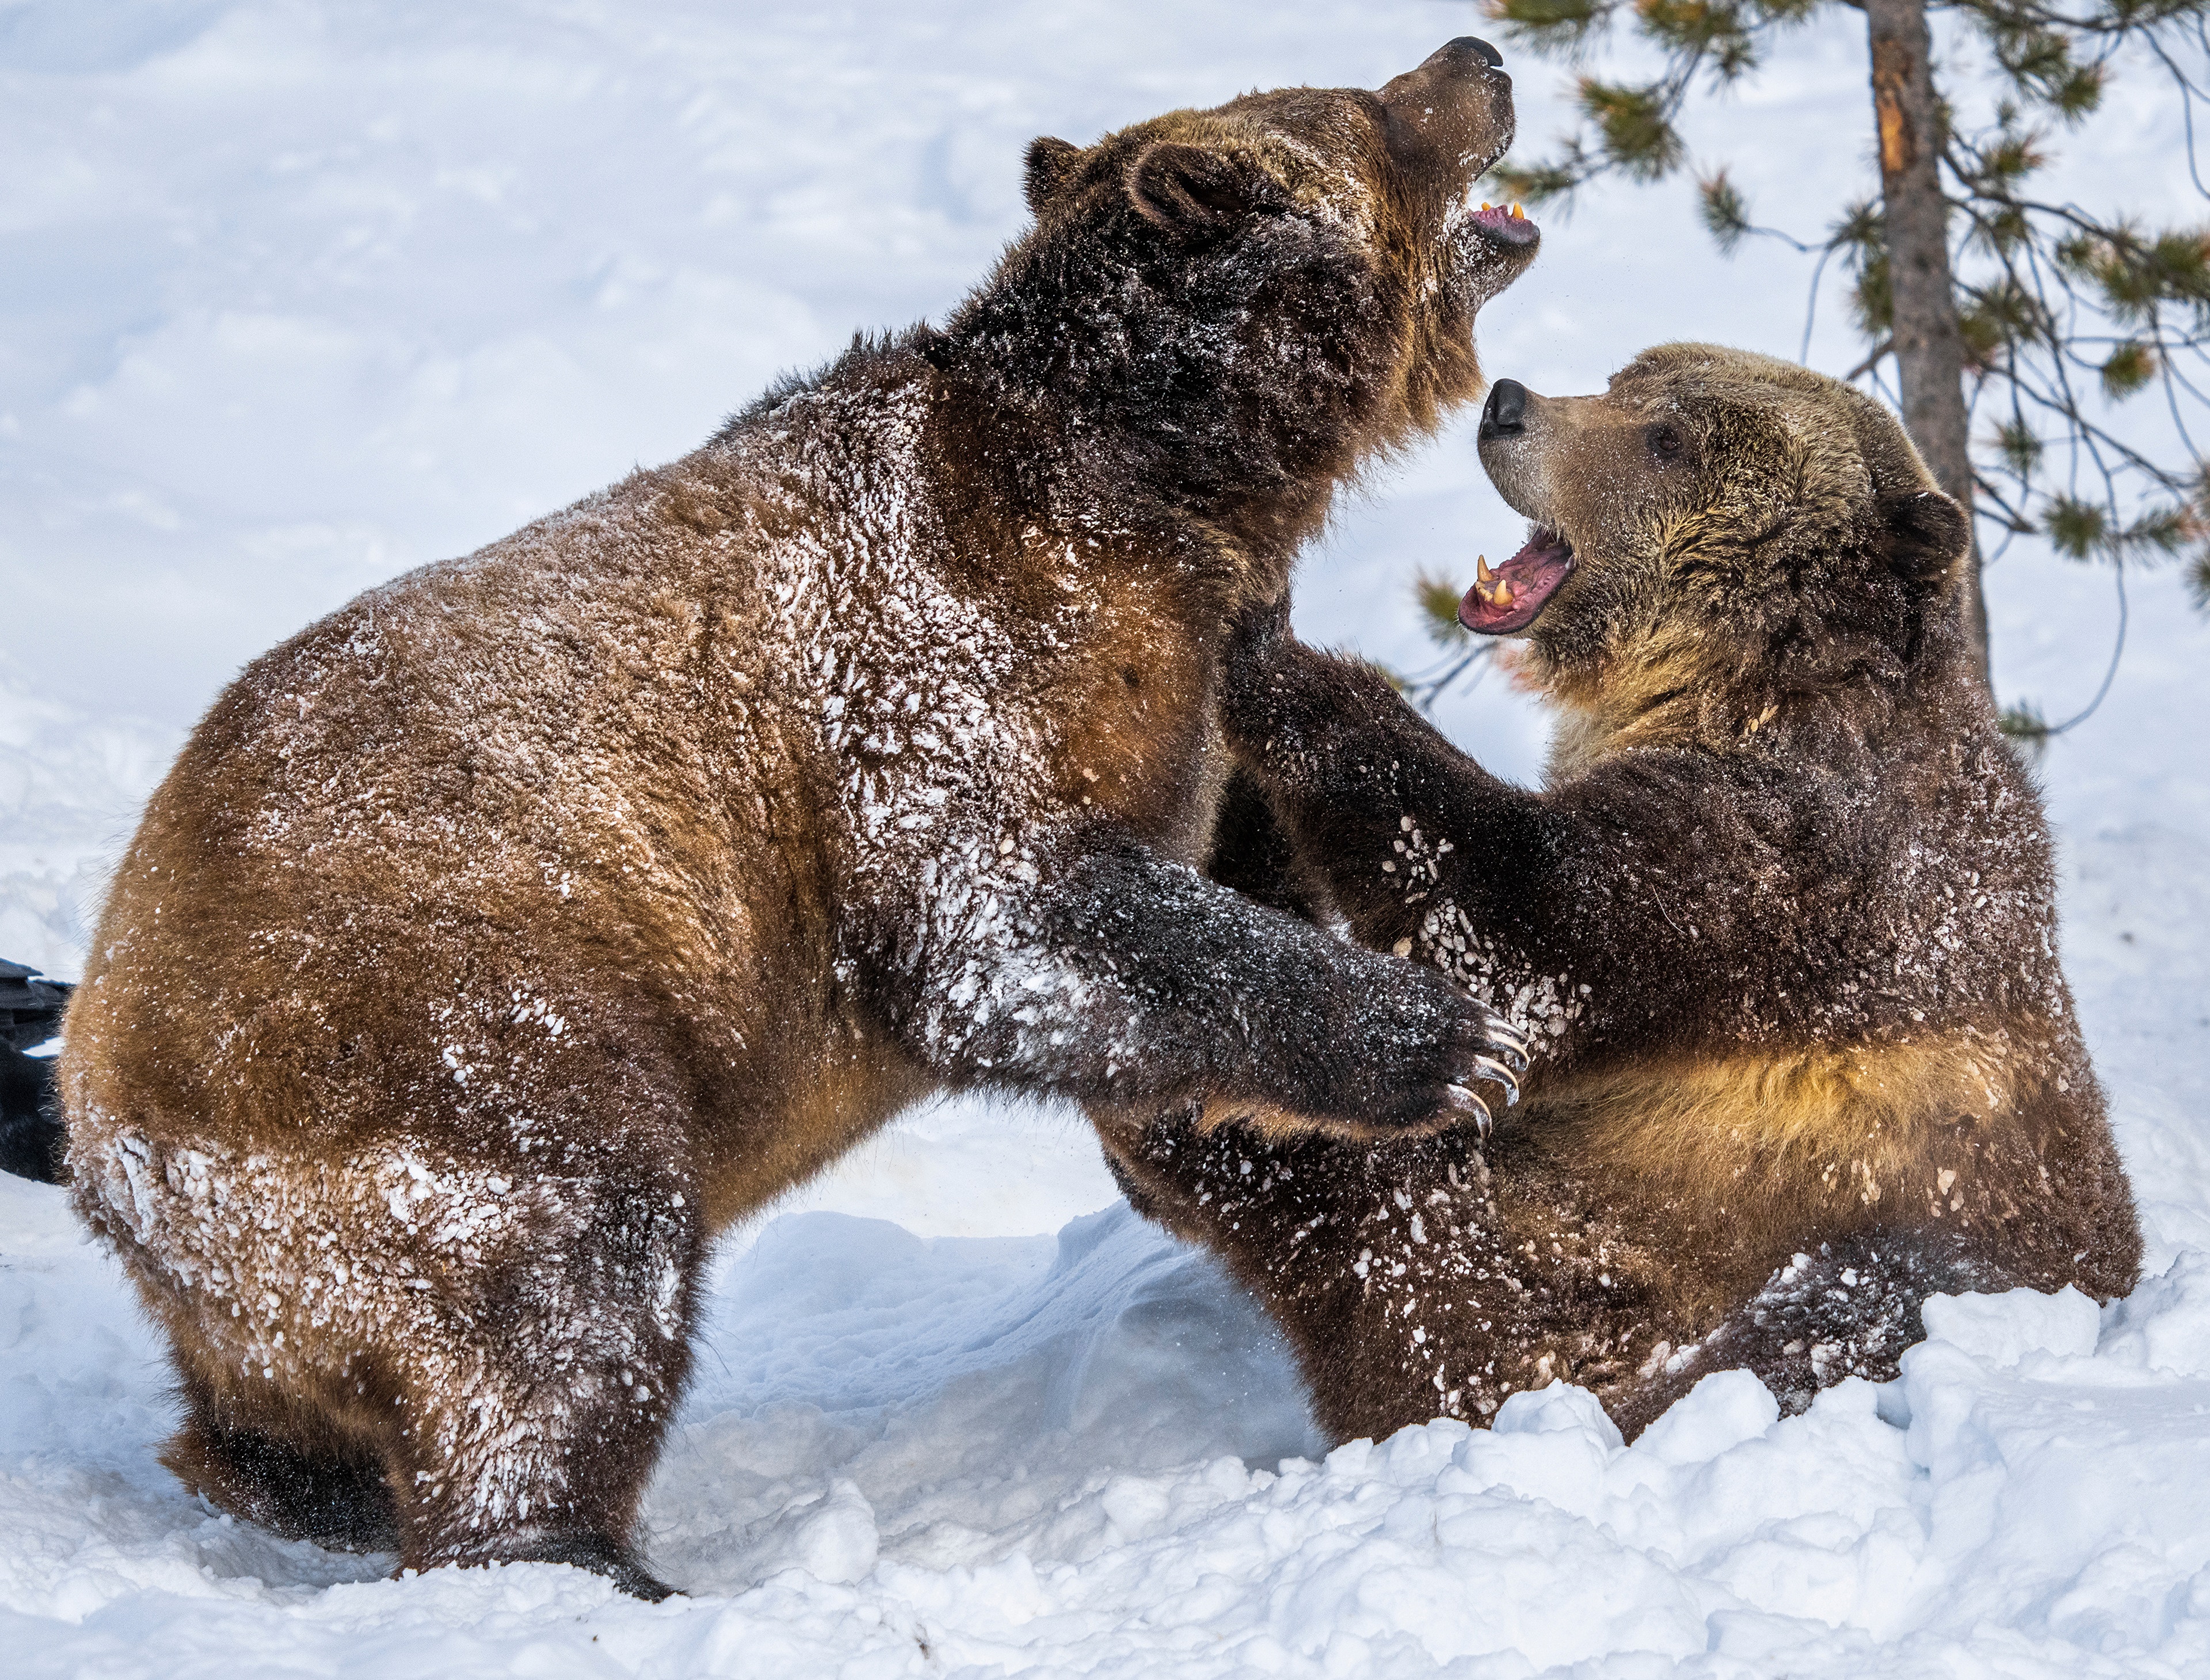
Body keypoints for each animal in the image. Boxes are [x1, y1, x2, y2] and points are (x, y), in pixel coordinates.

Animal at [57, 42, 1542, 1598]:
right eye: (1367, 106)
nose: (1480, 58)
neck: (1156, 482)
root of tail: (100, 1114)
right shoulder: (938, 661)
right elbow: (1003, 919)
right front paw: (1449, 1039)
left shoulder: (1170, 680)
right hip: (427, 1040)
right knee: (562, 1286)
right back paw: (577, 1554)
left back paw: (301, 1482)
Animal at [1101, 343, 2143, 1445]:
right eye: (1628, 376)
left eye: (1669, 438)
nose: (1509, 405)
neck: (1726, 680)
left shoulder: (1801, 858)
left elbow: (1528, 916)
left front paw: (1272, 643)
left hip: (1712, 1249)